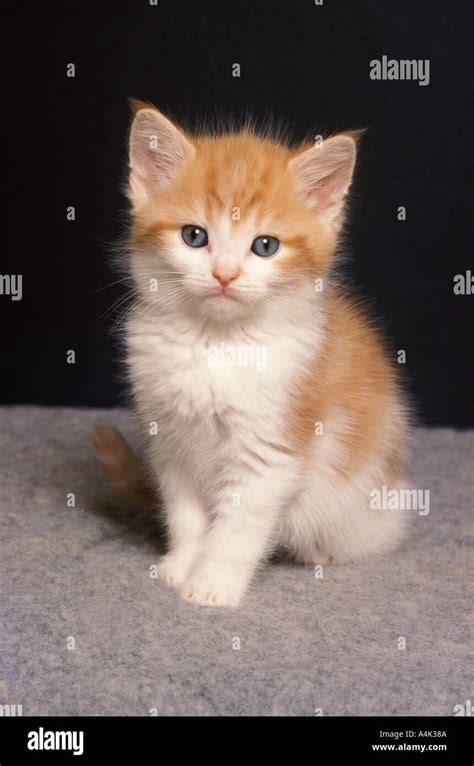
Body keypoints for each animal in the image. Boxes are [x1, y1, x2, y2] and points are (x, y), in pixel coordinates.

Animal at [94, 102, 410, 608]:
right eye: (194, 236)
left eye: (265, 245)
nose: (225, 274)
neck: (216, 343)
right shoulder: (169, 442)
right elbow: (186, 513)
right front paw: (182, 563)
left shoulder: (269, 452)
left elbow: (238, 527)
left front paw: (212, 584)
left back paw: (322, 549)